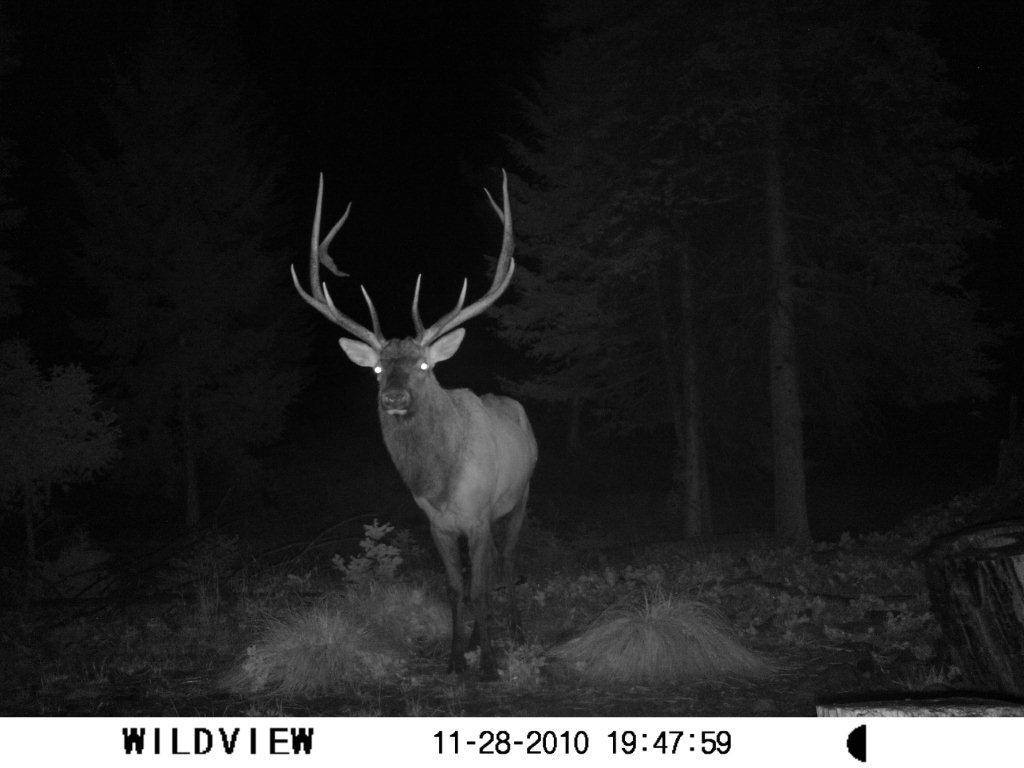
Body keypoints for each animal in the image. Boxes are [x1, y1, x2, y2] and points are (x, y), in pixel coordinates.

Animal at [291, 171, 537, 680]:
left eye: (424, 366)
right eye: (377, 370)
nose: (394, 397)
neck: (441, 484)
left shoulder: (478, 516)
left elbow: (480, 588)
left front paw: (489, 664)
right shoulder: (437, 523)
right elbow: (455, 589)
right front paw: (456, 658)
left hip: (520, 495)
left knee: (507, 562)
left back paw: (517, 630)